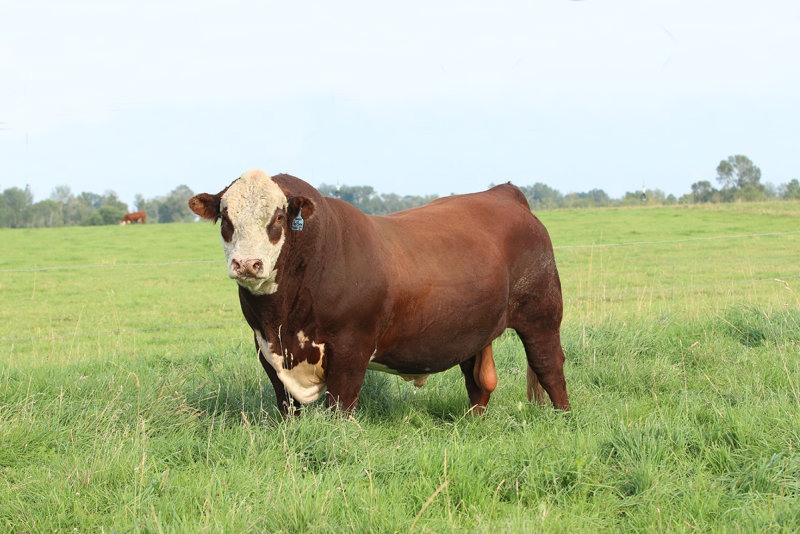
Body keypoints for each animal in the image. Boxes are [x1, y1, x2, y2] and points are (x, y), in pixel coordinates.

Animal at [188, 169, 569, 416]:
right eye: (225, 217)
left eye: (279, 217)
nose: (246, 263)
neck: (282, 318)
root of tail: (502, 193)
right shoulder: (266, 349)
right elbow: (286, 408)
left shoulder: (351, 349)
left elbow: (339, 409)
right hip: (473, 328)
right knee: (477, 383)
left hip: (542, 314)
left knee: (549, 367)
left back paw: (563, 418)